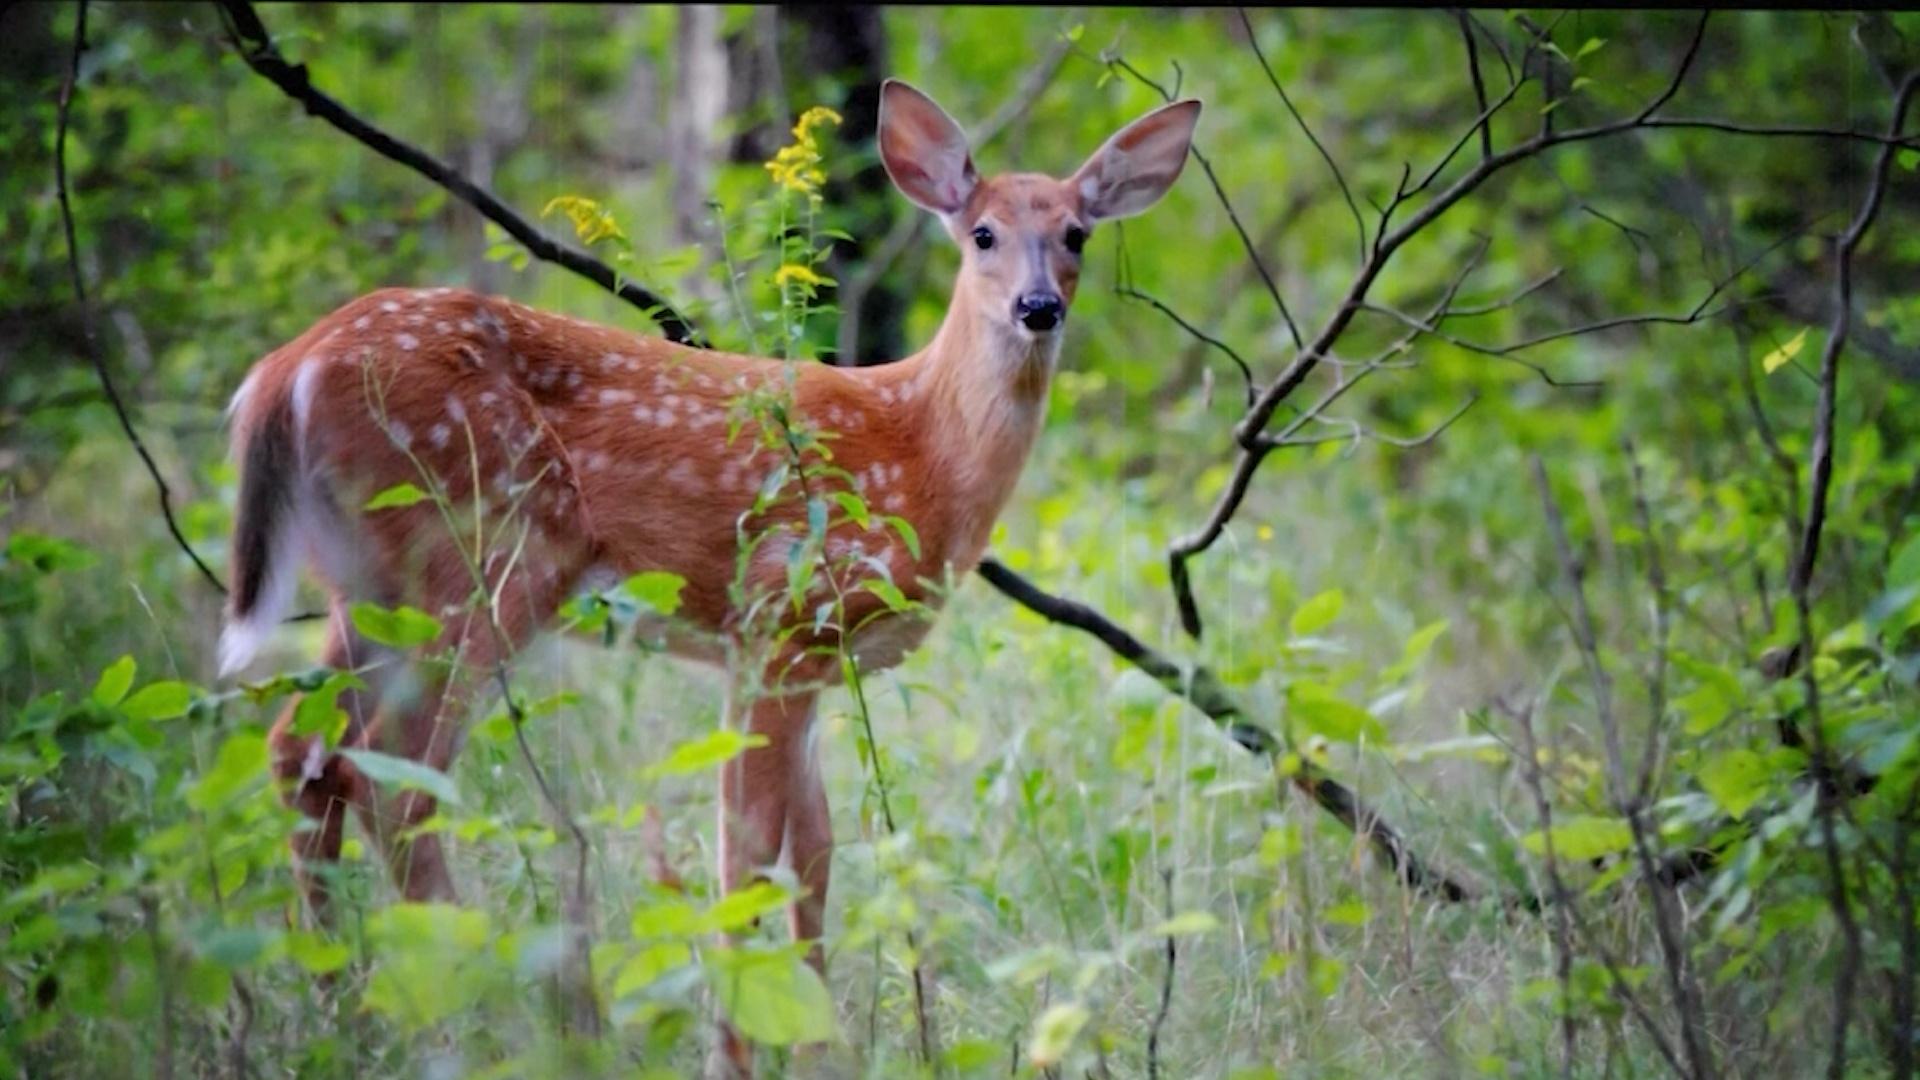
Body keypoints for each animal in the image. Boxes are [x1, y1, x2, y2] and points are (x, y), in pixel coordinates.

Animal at [217, 79, 1190, 1060]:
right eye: (982, 233)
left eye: (1077, 233)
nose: (1039, 306)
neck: (920, 449)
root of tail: (282, 373)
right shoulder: (776, 618)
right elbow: (748, 851)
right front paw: (737, 1046)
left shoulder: (813, 662)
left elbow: (814, 854)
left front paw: (818, 1039)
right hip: (486, 553)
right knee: (392, 775)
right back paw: (481, 1013)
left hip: (370, 583)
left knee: (300, 749)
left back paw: (343, 1006)